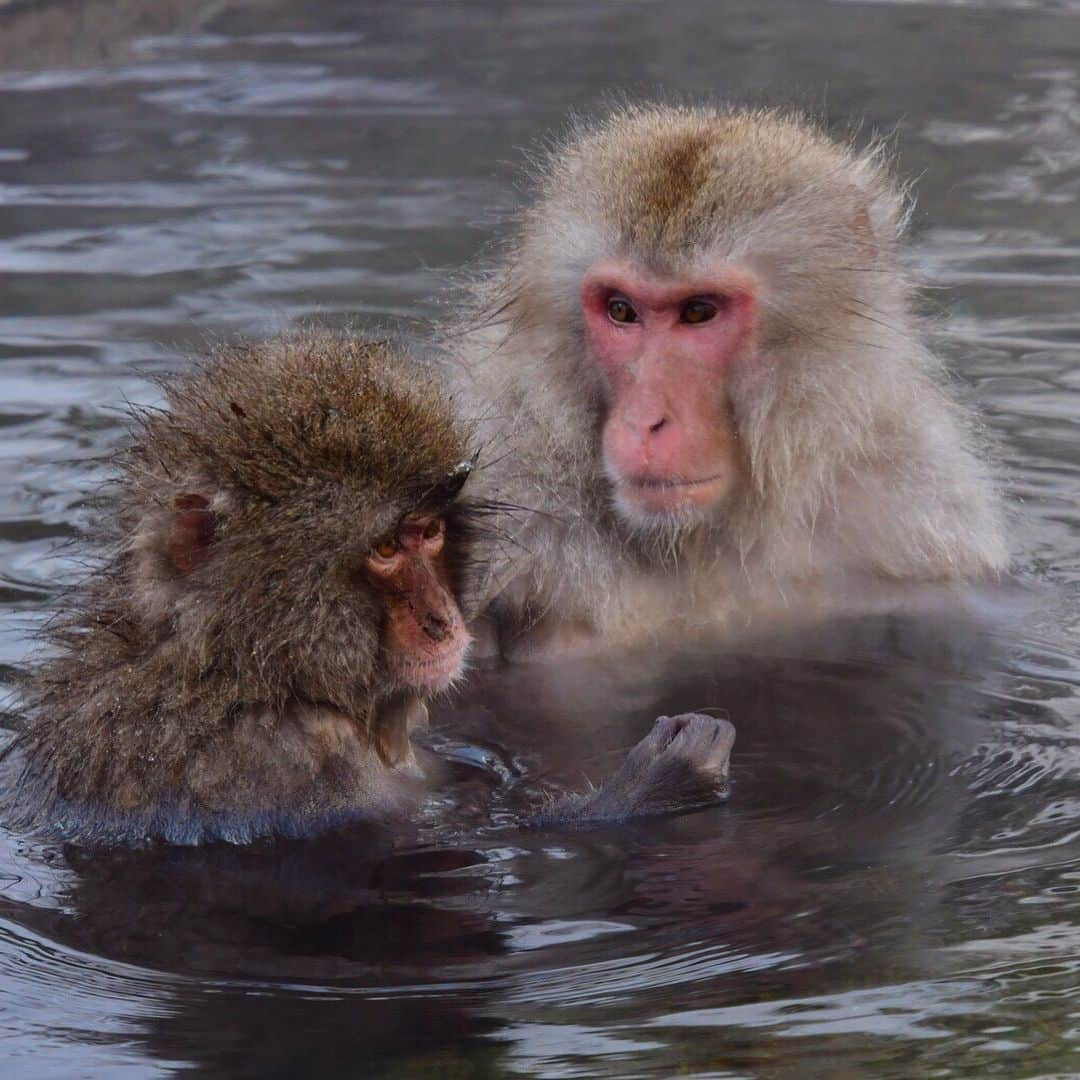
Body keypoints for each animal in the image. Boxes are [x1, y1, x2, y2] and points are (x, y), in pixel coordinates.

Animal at [4, 332, 734, 846]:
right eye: (385, 548)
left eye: (428, 533)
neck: (236, 666)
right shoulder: (271, 761)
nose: (444, 620)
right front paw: (659, 782)